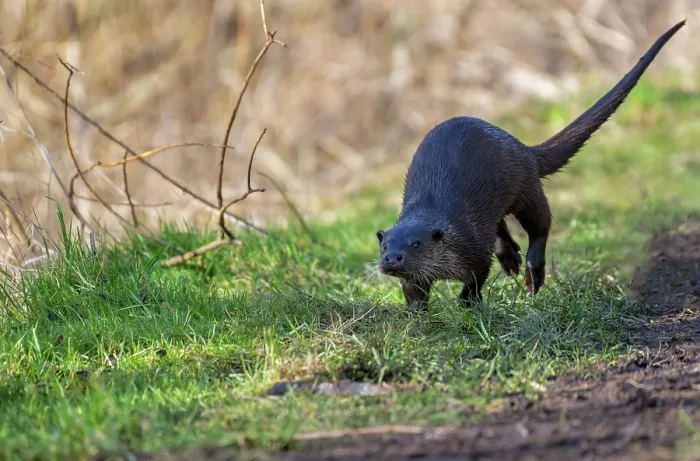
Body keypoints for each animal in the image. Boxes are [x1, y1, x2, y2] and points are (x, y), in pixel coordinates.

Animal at [376, 20, 686, 310]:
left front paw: (468, 303)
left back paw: (532, 271)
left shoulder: (473, 247)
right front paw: (416, 312)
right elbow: (413, 291)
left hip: (526, 186)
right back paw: (509, 256)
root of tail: (521, 146)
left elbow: (477, 277)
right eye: (385, 245)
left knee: (541, 224)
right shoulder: (420, 273)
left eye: (416, 244)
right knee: (502, 224)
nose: (392, 258)